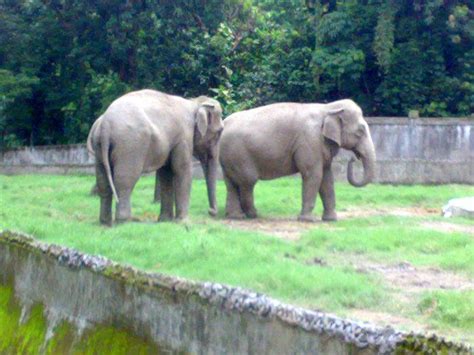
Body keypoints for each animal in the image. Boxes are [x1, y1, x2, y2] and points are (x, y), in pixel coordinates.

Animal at [88, 90, 223, 227]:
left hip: (99, 147)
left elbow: (166, 173)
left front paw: (165, 220)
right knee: (124, 181)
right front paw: (184, 222)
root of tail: (105, 124)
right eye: (220, 132)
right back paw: (125, 222)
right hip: (130, 146)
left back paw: (105, 223)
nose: (211, 212)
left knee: (103, 181)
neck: (194, 102)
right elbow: (182, 170)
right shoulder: (183, 138)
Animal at [219, 99, 378, 222]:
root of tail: (223, 124)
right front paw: (307, 220)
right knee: (247, 181)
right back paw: (252, 215)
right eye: (360, 131)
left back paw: (235, 216)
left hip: (229, 157)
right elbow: (313, 175)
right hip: (239, 154)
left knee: (231, 184)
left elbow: (327, 178)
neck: (327, 108)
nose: (353, 158)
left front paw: (331, 219)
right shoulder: (310, 140)